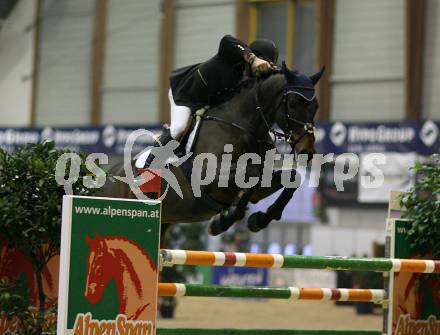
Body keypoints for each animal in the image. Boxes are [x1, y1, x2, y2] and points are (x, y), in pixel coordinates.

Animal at [100, 62, 324, 242]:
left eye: (316, 106)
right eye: (293, 103)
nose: (307, 151)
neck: (244, 125)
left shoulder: (259, 189)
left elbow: (291, 178)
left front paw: (258, 220)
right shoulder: (208, 178)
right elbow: (254, 173)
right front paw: (223, 220)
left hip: (162, 225)